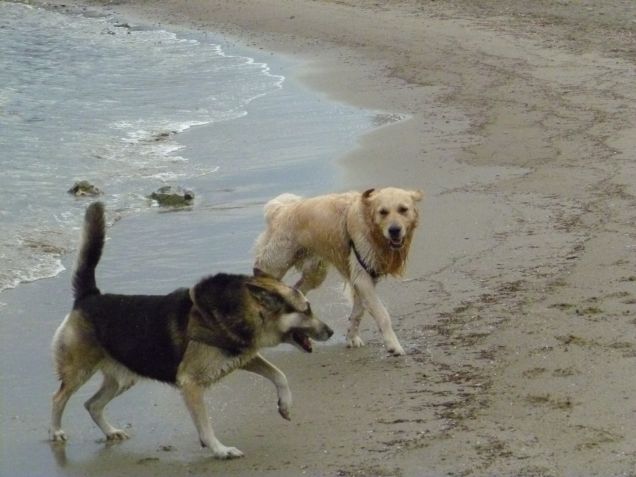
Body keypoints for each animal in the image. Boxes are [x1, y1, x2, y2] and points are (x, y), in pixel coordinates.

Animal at [49, 201, 332, 458]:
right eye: (306, 310)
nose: (330, 332)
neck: (242, 309)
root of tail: (89, 297)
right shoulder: (191, 384)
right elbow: (205, 425)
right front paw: (220, 449)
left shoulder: (243, 357)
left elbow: (279, 375)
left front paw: (285, 405)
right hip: (79, 370)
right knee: (58, 398)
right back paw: (56, 432)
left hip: (123, 377)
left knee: (92, 404)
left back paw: (110, 432)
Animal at [253, 188, 422, 356]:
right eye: (383, 212)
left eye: (403, 209)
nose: (394, 230)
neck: (370, 225)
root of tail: (280, 209)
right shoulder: (362, 277)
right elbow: (382, 314)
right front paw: (394, 345)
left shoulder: (365, 277)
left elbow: (357, 313)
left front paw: (352, 338)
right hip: (275, 263)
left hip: (315, 272)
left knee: (298, 289)